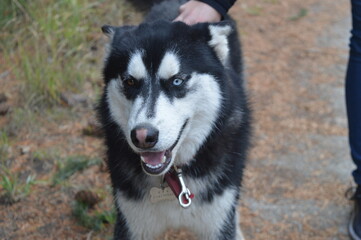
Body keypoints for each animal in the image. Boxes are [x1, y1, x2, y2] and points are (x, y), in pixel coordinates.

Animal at [98, 0, 250, 239]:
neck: (175, 177)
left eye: (177, 81)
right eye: (130, 81)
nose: (143, 136)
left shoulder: (217, 222)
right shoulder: (133, 223)